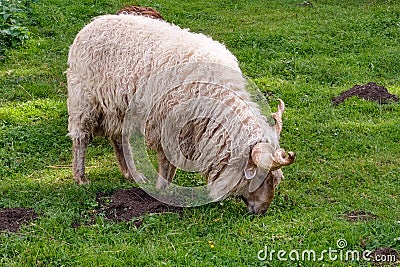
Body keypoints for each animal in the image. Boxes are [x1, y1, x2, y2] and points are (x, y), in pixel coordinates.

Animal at [67, 15, 296, 216]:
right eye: (259, 178)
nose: (262, 210)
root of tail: (95, 22)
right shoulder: (168, 123)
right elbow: (166, 160)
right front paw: (163, 187)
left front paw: (165, 184)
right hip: (84, 98)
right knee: (81, 138)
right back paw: (81, 178)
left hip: (117, 106)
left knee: (118, 138)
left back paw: (132, 175)